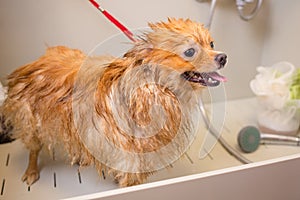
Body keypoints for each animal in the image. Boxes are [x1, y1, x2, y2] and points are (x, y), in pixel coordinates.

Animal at [0, 18, 227, 187]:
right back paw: (31, 172)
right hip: (30, 122)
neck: (155, 90)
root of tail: (37, 61)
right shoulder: (129, 158)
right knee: (33, 149)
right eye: (190, 52)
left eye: (211, 44)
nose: (223, 57)